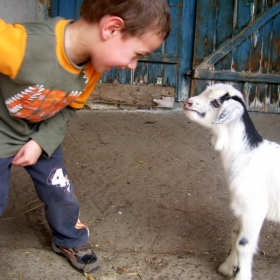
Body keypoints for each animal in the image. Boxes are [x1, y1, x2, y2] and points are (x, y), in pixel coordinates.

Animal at [184, 83, 280, 280]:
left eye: (215, 102)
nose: (188, 102)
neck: (249, 154)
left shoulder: (254, 209)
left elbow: (244, 244)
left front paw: (241, 275)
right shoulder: (243, 208)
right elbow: (235, 235)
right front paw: (228, 267)